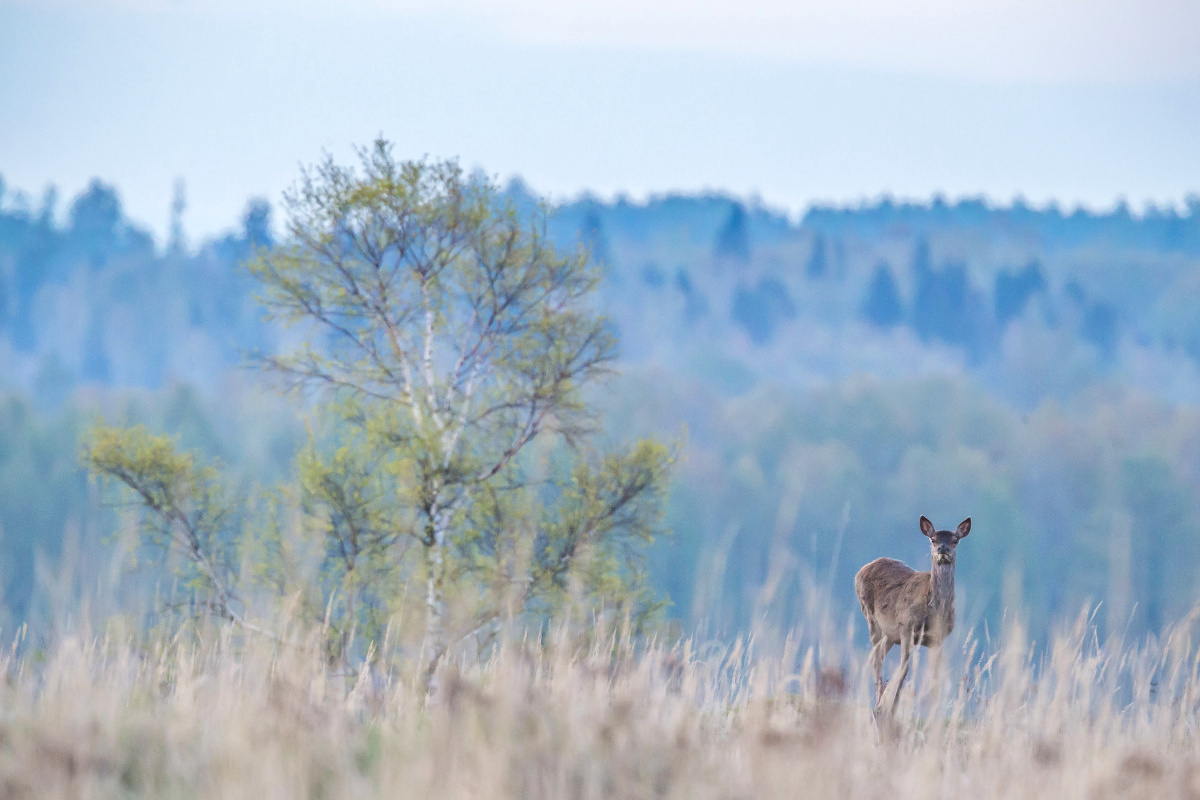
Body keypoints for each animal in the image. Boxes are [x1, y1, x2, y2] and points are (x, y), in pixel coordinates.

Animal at [859, 515, 969, 714]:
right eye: (933, 539)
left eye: (955, 540)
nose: (942, 549)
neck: (935, 611)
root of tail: (860, 571)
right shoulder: (906, 627)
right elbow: (904, 667)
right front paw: (890, 704)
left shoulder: (938, 638)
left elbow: (935, 676)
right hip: (871, 618)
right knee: (877, 658)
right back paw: (879, 703)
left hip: (890, 634)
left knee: (874, 656)